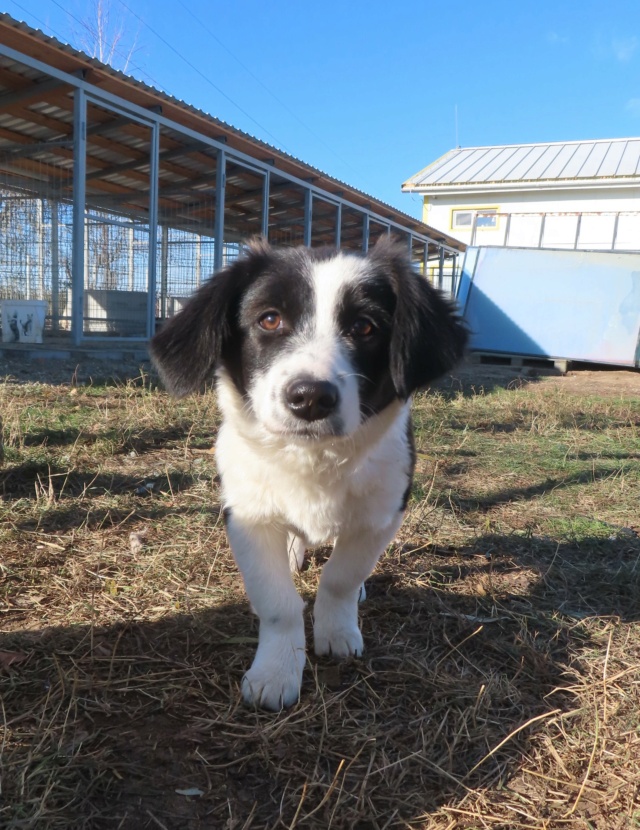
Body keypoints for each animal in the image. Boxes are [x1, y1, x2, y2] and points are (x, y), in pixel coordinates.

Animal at [152, 237, 468, 712]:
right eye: (269, 318)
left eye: (365, 327)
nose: (310, 398)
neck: (314, 457)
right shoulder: (248, 516)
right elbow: (278, 601)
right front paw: (276, 670)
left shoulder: (382, 514)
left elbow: (341, 577)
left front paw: (336, 632)